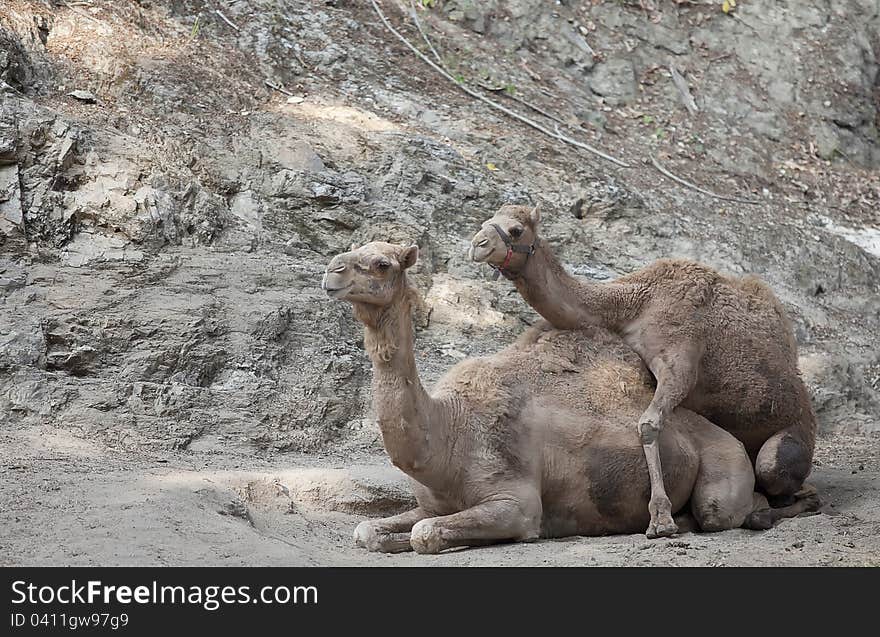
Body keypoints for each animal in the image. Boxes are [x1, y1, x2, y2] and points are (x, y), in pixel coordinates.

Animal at [320, 240, 816, 552]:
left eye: (383, 264)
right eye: (355, 249)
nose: (331, 271)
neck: (447, 432)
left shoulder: (516, 503)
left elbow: (426, 534)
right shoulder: (431, 502)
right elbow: (368, 530)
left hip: (729, 464)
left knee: (735, 505)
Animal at [470, 205, 820, 536]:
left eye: (516, 230)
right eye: (486, 220)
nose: (477, 244)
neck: (635, 303)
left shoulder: (681, 355)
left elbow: (649, 425)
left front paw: (661, 520)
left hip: (791, 437)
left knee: (778, 475)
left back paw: (781, 508)